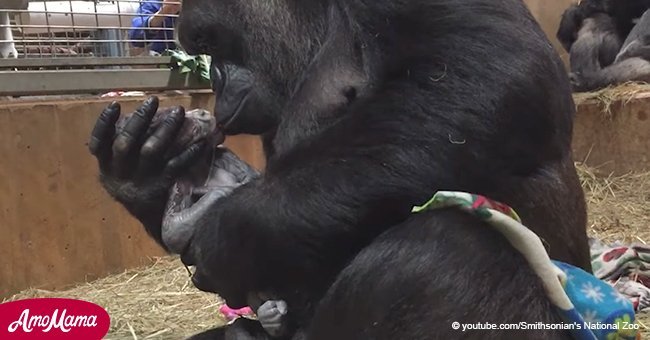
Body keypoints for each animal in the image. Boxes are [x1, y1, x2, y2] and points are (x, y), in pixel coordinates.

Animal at [88, 0, 588, 338]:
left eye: (209, 43)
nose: (218, 83)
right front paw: (143, 176)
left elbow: (494, 71)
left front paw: (230, 233)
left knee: (440, 252)